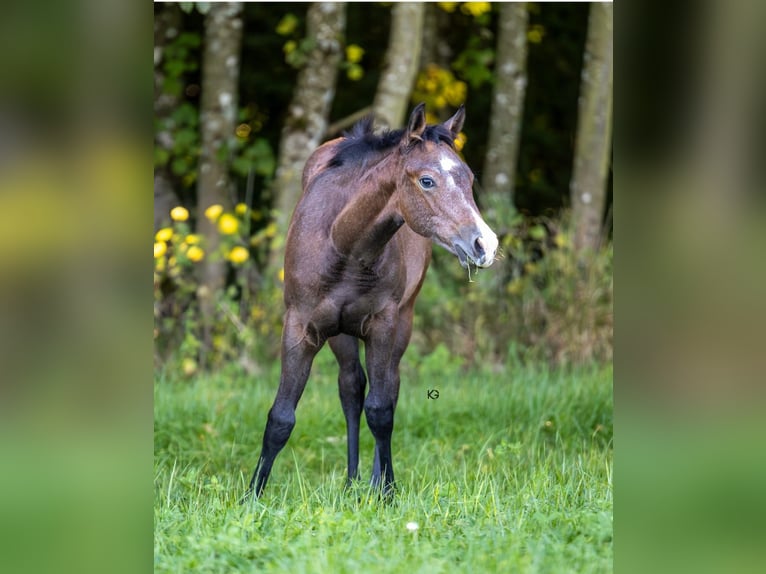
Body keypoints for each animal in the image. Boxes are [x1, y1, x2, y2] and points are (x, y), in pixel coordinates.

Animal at [246, 103, 498, 498]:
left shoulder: (383, 324)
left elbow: (381, 411)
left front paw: (387, 492)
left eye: (470, 179)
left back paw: (372, 481)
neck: (344, 242)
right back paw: (351, 481)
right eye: (427, 180)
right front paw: (252, 496)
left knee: (388, 388)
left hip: (402, 323)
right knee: (351, 388)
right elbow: (281, 416)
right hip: (340, 335)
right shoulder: (301, 327)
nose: (485, 244)